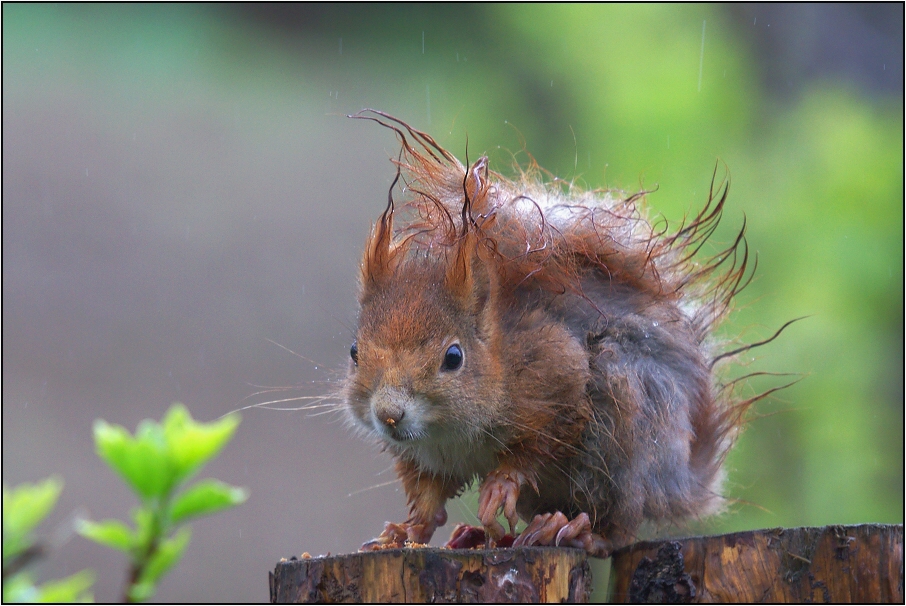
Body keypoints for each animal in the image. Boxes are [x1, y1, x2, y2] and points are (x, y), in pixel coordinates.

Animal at [340, 110, 776, 560]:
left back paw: (573, 531)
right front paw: (405, 531)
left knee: (620, 523)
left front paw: (500, 486)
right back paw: (484, 535)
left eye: (454, 357)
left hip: (625, 431)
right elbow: (427, 498)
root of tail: (680, 481)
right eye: (354, 352)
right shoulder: (425, 458)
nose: (389, 414)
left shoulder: (555, 371)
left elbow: (540, 442)